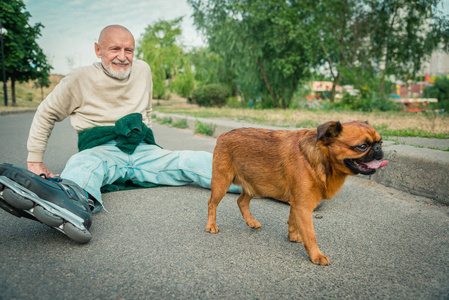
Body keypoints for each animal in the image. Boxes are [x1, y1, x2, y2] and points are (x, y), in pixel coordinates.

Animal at [205, 119, 386, 264]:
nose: (378, 148)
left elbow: (293, 221)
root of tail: (223, 135)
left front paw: (292, 236)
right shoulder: (303, 206)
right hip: (222, 182)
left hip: (255, 185)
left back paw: (251, 222)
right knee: (212, 203)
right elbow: (310, 234)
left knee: (241, 201)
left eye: (381, 142)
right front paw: (316, 255)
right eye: (362, 146)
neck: (321, 156)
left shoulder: (298, 202)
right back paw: (211, 225)